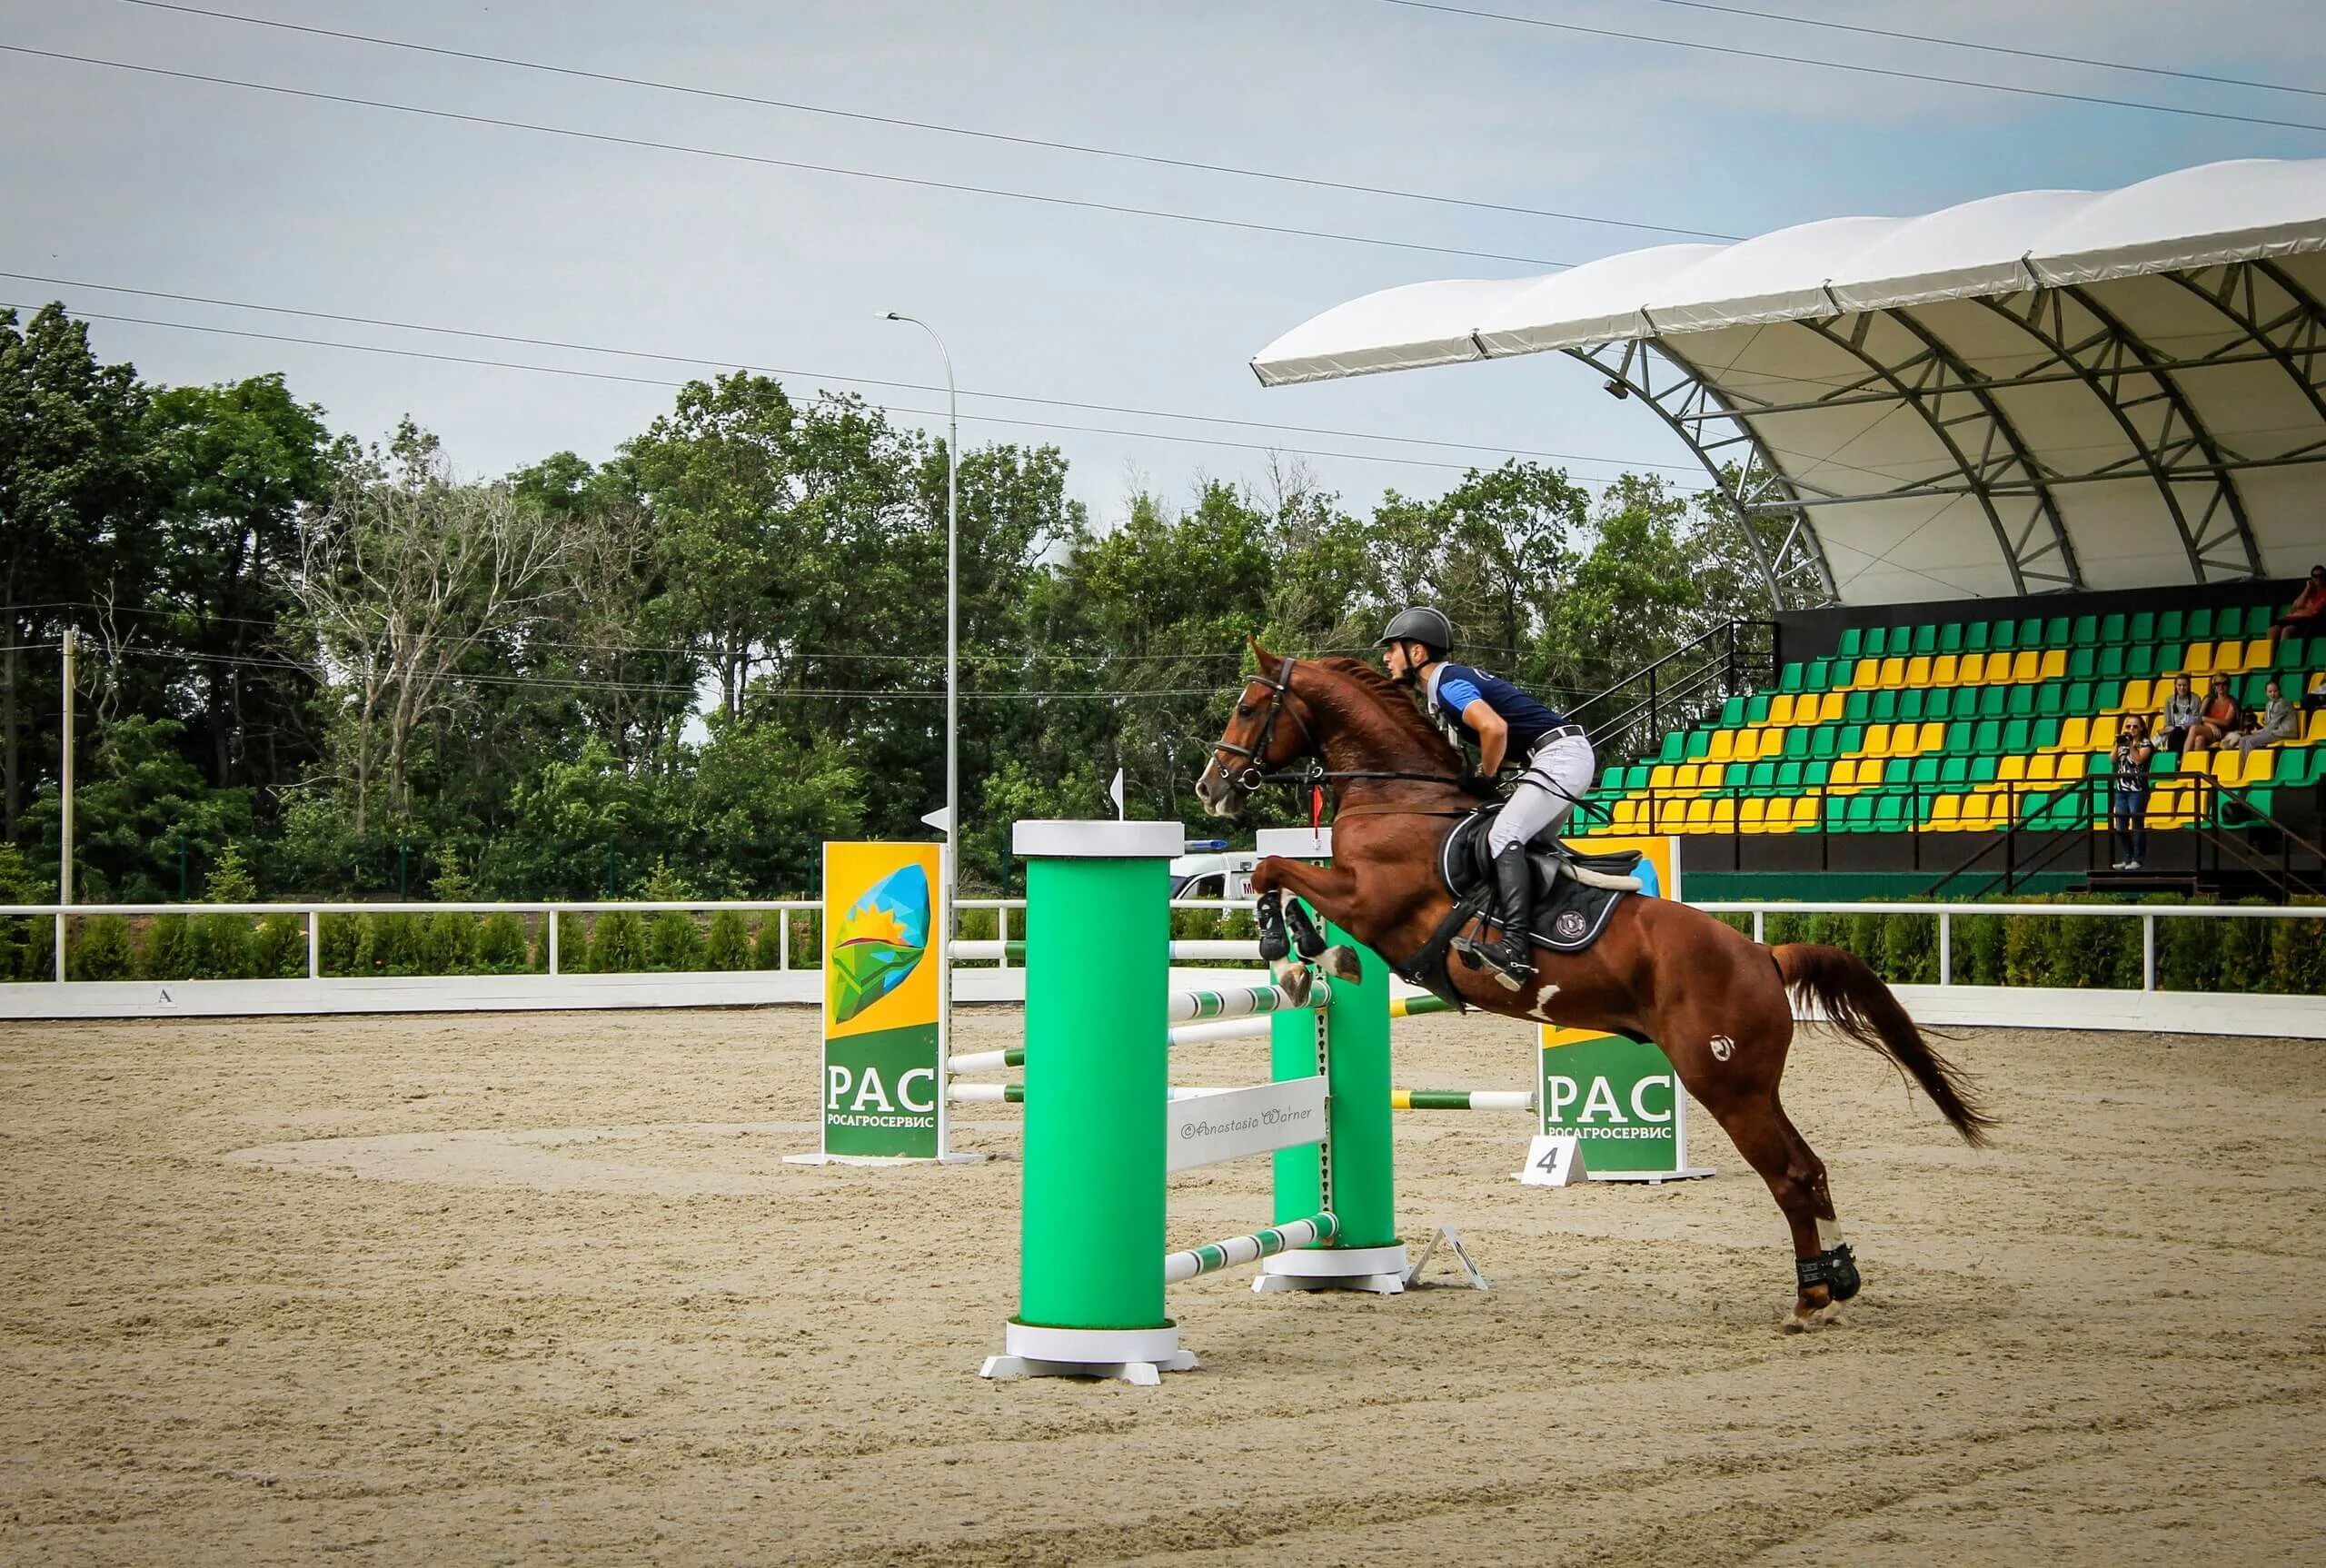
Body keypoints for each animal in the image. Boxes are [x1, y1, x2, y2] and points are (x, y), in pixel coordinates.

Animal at [1190, 641, 1991, 1321]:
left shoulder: (1371, 901)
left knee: (1790, 1176)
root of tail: (1766, 957)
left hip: (1724, 1082)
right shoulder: (1360, 898)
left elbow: (1274, 870)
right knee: (1810, 1169)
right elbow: (1279, 875)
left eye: (1250, 708)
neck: (1400, 797)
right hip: (1753, 1085)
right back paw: (1833, 1280)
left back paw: (1808, 1298)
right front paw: (1305, 953)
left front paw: (1296, 955)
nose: (1210, 786)